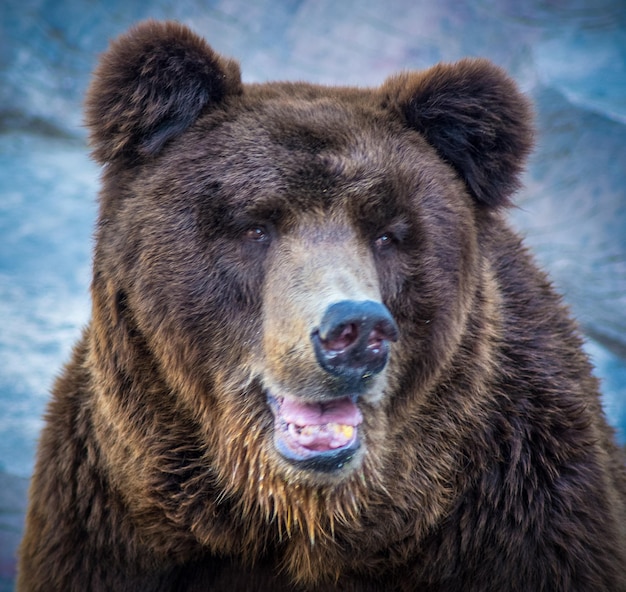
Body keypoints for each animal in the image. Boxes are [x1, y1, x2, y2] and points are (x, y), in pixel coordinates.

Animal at [17, 19, 624, 592]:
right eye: (255, 226)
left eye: (388, 234)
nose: (355, 329)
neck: (307, 521)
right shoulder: (107, 524)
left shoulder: (521, 508)